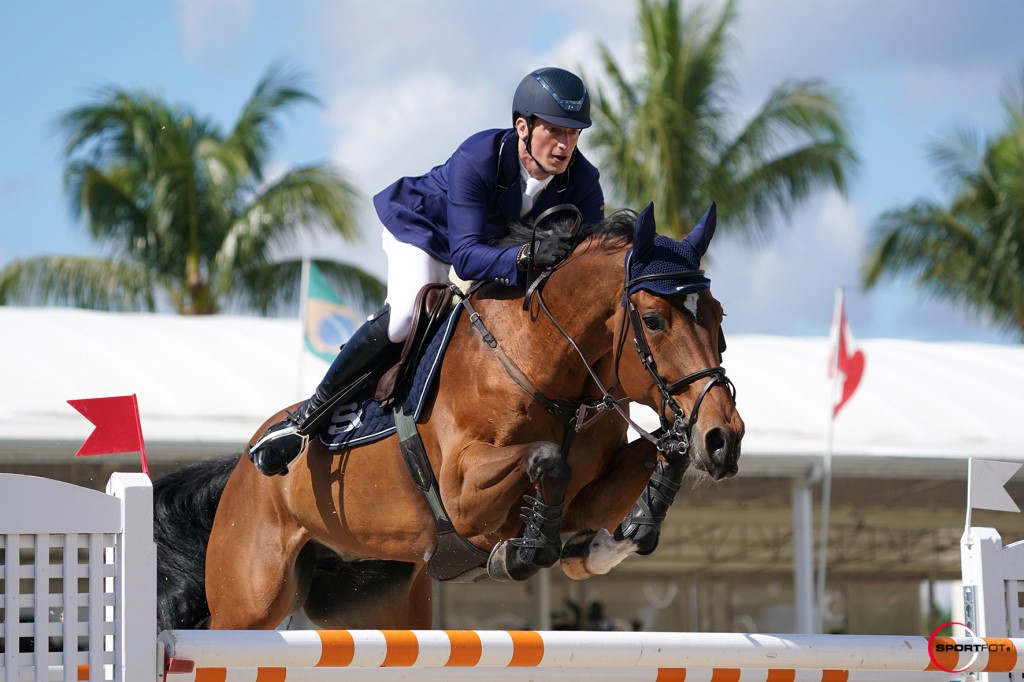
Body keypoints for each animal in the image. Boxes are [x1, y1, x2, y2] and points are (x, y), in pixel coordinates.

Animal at [153, 199, 745, 630]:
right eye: (654, 319)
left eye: (718, 316)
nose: (724, 438)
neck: (542, 364)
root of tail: (239, 468)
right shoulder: (463, 493)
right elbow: (546, 457)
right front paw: (528, 550)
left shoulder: (590, 493)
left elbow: (653, 460)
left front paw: (633, 525)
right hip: (249, 602)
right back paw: (285, 439)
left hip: (374, 604)